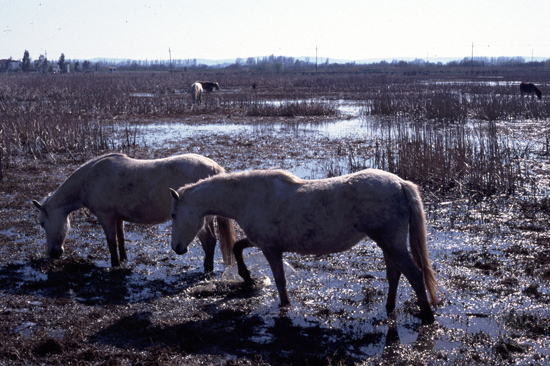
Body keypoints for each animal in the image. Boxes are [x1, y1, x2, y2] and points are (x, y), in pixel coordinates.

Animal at [32, 153, 235, 270]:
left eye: (42, 223)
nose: (54, 253)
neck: (90, 179)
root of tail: (213, 167)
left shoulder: (105, 216)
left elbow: (111, 242)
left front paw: (115, 265)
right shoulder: (117, 217)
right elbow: (121, 239)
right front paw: (123, 259)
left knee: (209, 242)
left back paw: (207, 270)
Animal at [170, 168, 442, 324]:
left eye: (173, 215)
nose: (176, 247)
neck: (250, 196)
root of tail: (400, 183)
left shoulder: (270, 249)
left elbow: (280, 281)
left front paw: (284, 305)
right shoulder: (261, 242)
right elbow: (238, 247)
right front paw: (247, 277)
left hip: (391, 243)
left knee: (414, 275)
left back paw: (427, 317)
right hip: (388, 243)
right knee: (395, 274)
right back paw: (389, 307)